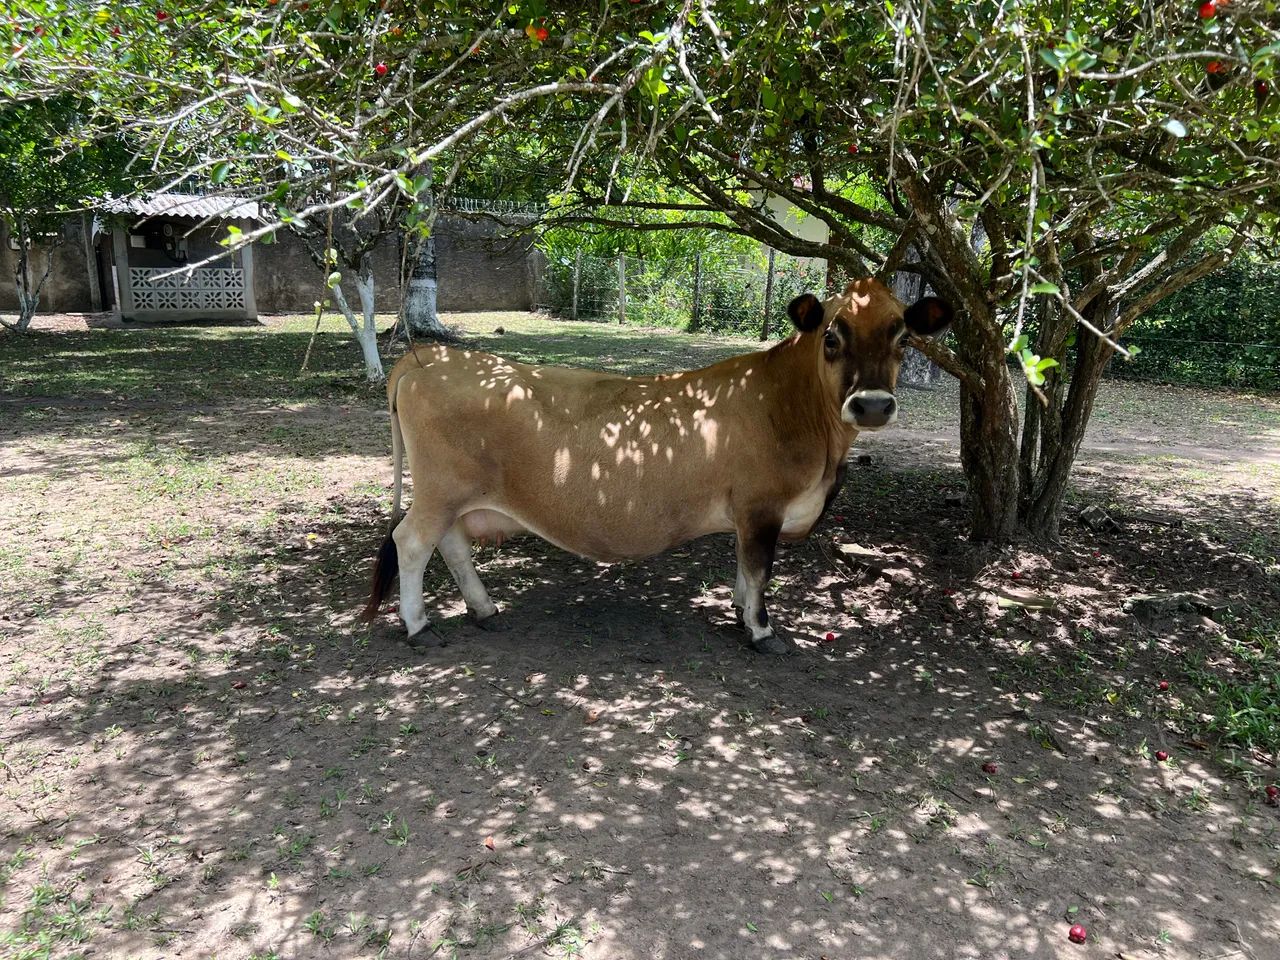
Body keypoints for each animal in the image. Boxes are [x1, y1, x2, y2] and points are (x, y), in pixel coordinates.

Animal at [362, 277, 952, 654]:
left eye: (903, 336)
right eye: (831, 336)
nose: (872, 405)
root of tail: (428, 359)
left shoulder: (747, 515)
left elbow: (742, 569)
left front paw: (739, 612)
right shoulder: (762, 506)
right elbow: (760, 570)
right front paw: (762, 632)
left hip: (455, 495)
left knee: (451, 545)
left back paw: (484, 609)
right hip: (440, 490)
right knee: (412, 542)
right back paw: (418, 627)